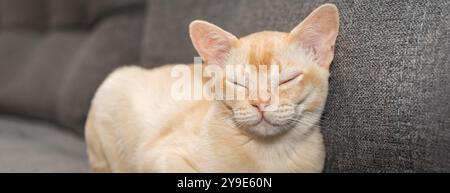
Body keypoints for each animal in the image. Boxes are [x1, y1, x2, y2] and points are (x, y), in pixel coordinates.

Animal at [84, 3, 340, 172]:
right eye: (238, 83)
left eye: (287, 80)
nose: (260, 104)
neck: (269, 155)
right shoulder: (159, 157)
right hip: (114, 83)